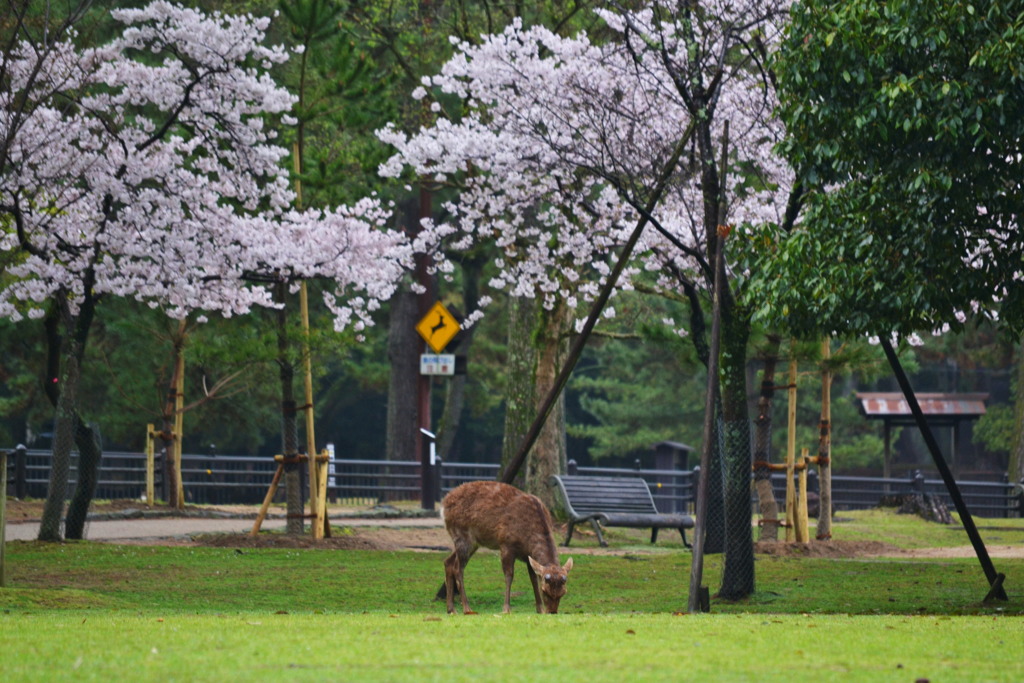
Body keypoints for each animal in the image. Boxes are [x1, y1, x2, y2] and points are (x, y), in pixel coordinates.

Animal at [438, 481, 573, 614]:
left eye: (563, 593)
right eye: (544, 590)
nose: (552, 612)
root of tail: (443, 505)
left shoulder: (528, 554)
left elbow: (533, 578)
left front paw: (540, 609)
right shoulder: (506, 544)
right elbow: (509, 575)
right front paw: (506, 609)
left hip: (471, 542)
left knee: (448, 562)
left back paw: (451, 609)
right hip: (462, 535)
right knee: (457, 568)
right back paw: (467, 608)